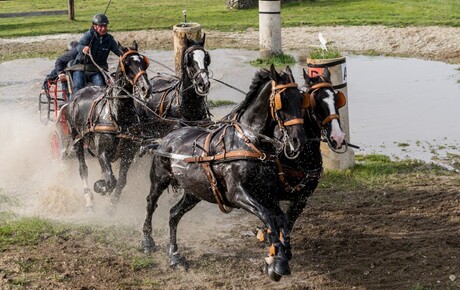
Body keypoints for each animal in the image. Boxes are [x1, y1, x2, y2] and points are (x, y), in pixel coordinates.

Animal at [64, 40, 152, 210]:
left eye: (144, 63)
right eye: (127, 63)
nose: (146, 88)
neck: (118, 118)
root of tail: (78, 93)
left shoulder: (128, 155)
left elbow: (121, 182)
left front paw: (112, 205)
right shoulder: (102, 152)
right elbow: (111, 181)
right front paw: (100, 186)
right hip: (77, 138)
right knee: (83, 169)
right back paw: (89, 200)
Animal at [141, 65, 310, 280]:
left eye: (300, 98)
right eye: (283, 100)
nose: (299, 140)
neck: (248, 141)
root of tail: (166, 138)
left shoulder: (266, 194)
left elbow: (282, 220)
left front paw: (280, 255)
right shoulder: (238, 194)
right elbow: (267, 217)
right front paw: (277, 262)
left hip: (194, 192)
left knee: (174, 214)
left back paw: (175, 255)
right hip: (160, 178)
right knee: (151, 202)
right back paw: (147, 241)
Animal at [256, 67, 346, 260]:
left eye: (337, 99)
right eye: (315, 101)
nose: (338, 137)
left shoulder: (302, 197)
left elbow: (288, 222)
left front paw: (285, 248)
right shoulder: (271, 194)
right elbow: (276, 219)